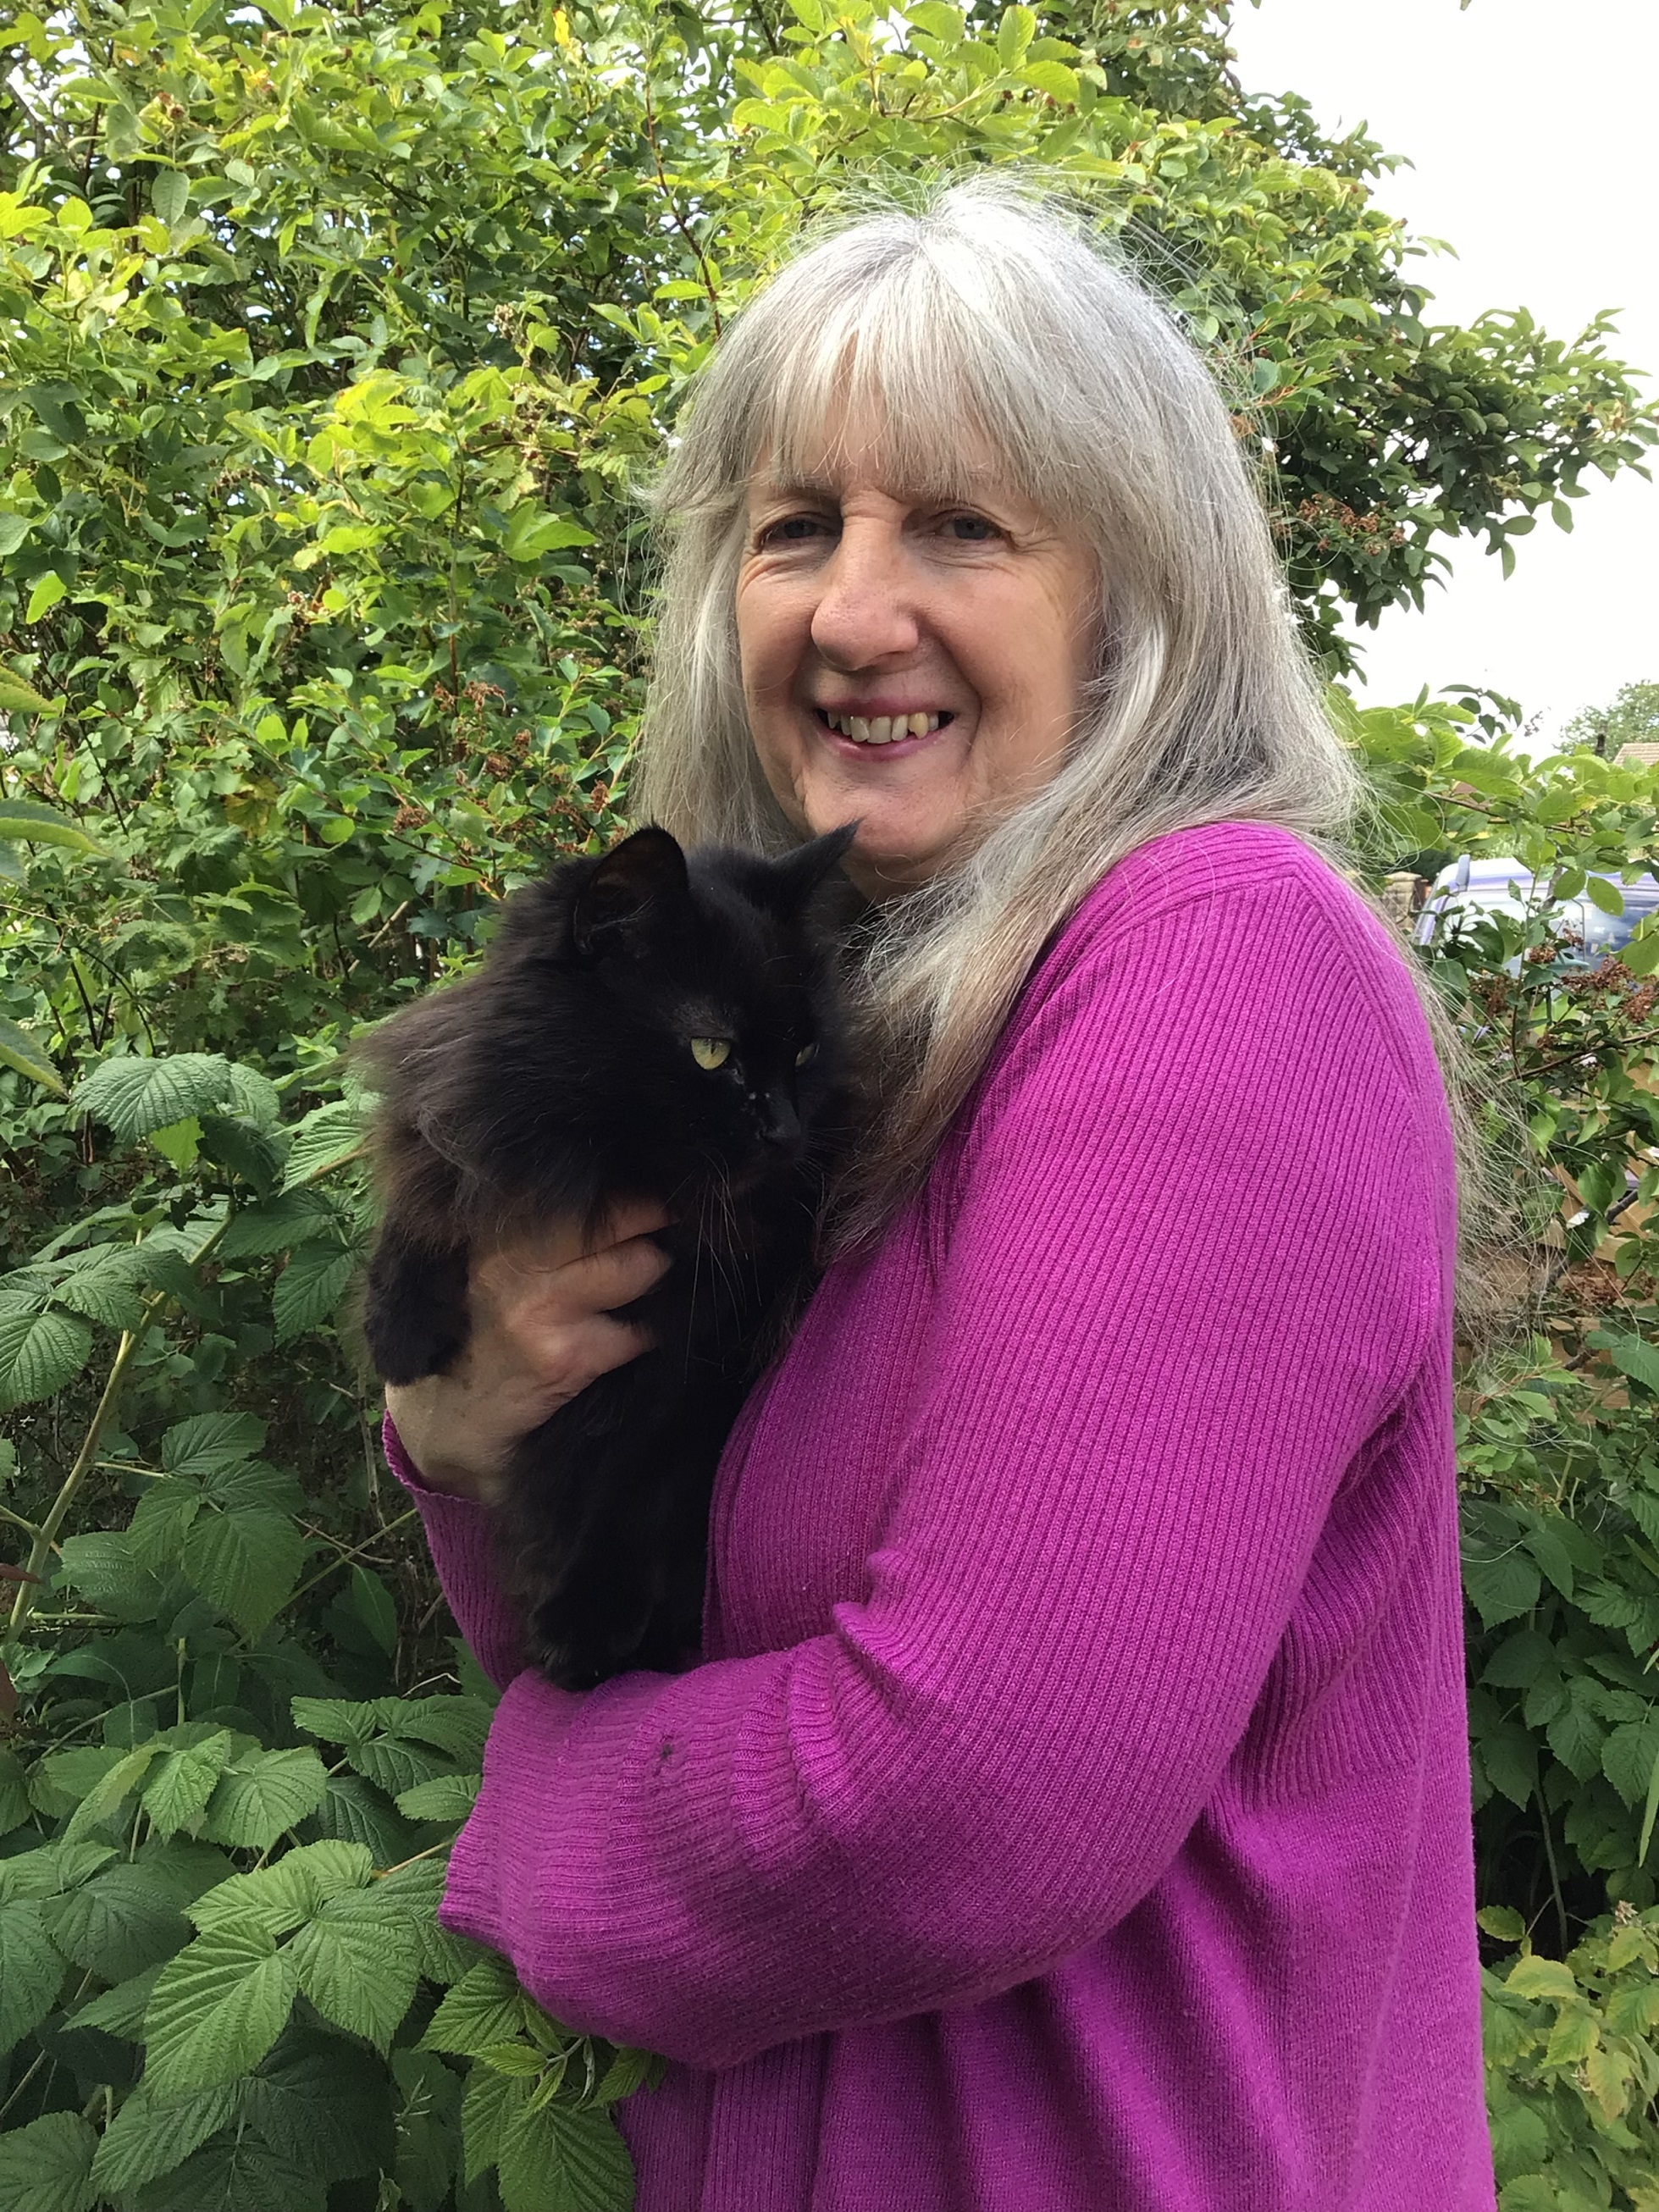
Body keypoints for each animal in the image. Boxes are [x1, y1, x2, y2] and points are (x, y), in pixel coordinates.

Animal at [362, 822, 858, 1681]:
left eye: (803, 1054)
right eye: (710, 1052)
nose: (786, 1134)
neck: (604, 1170)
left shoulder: (698, 1358)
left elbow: (632, 1479)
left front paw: (584, 1626)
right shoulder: (465, 1133)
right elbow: (427, 1199)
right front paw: (399, 1326)